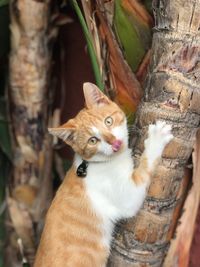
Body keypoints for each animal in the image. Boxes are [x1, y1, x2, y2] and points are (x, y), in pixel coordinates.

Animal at [33, 82, 173, 266]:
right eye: (93, 140)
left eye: (108, 121)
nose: (115, 143)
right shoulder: (129, 197)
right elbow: (146, 165)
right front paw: (157, 139)